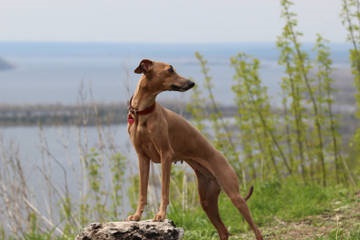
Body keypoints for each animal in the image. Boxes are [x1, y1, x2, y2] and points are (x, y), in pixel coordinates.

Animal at [128, 58, 262, 240]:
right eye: (170, 70)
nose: (191, 83)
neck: (143, 113)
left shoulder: (166, 155)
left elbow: (164, 191)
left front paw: (161, 215)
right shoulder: (142, 157)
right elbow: (142, 192)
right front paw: (136, 216)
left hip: (235, 196)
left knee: (256, 230)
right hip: (207, 201)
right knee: (223, 230)